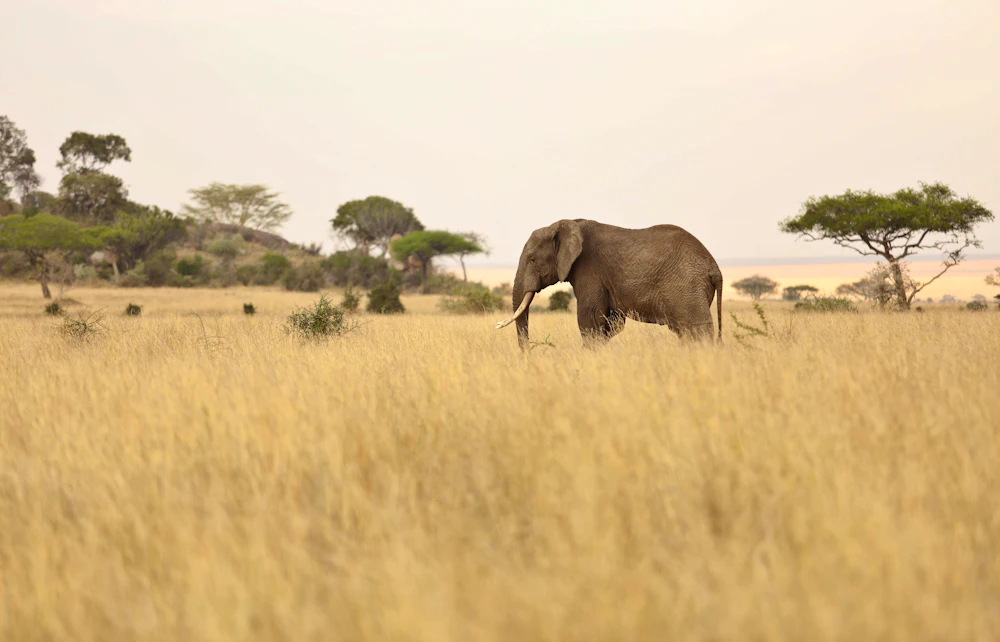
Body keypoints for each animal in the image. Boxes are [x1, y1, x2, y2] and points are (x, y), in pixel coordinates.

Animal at [496, 219, 723, 348]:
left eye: (532, 260)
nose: (527, 357)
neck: (565, 223)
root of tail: (715, 268)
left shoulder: (589, 269)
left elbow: (589, 320)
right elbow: (612, 324)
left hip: (687, 287)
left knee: (697, 330)